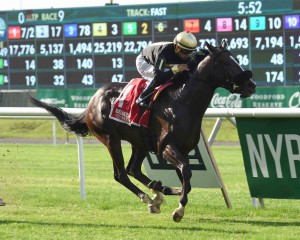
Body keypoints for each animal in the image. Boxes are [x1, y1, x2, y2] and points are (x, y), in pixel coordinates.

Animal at [29, 40, 255, 222]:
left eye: (236, 59)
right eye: (226, 63)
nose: (251, 85)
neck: (182, 102)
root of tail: (92, 101)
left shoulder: (182, 149)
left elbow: (186, 178)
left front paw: (173, 195)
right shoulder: (166, 147)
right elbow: (187, 173)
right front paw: (179, 210)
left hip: (140, 143)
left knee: (133, 169)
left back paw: (159, 191)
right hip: (110, 138)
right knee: (121, 174)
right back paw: (149, 198)